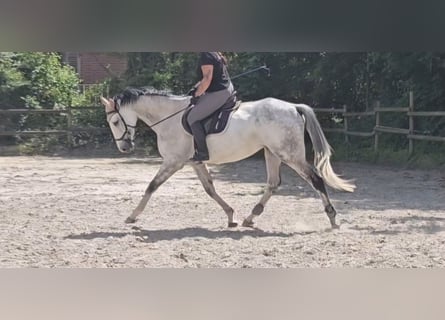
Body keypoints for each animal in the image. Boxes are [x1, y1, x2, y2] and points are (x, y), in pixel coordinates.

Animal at [99, 88, 354, 228]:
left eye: (115, 121)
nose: (124, 147)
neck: (169, 117)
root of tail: (293, 107)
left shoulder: (174, 161)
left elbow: (151, 186)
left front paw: (132, 216)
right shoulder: (195, 162)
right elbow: (210, 189)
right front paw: (231, 216)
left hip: (289, 154)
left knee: (316, 180)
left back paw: (332, 219)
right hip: (271, 152)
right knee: (273, 183)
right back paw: (250, 217)